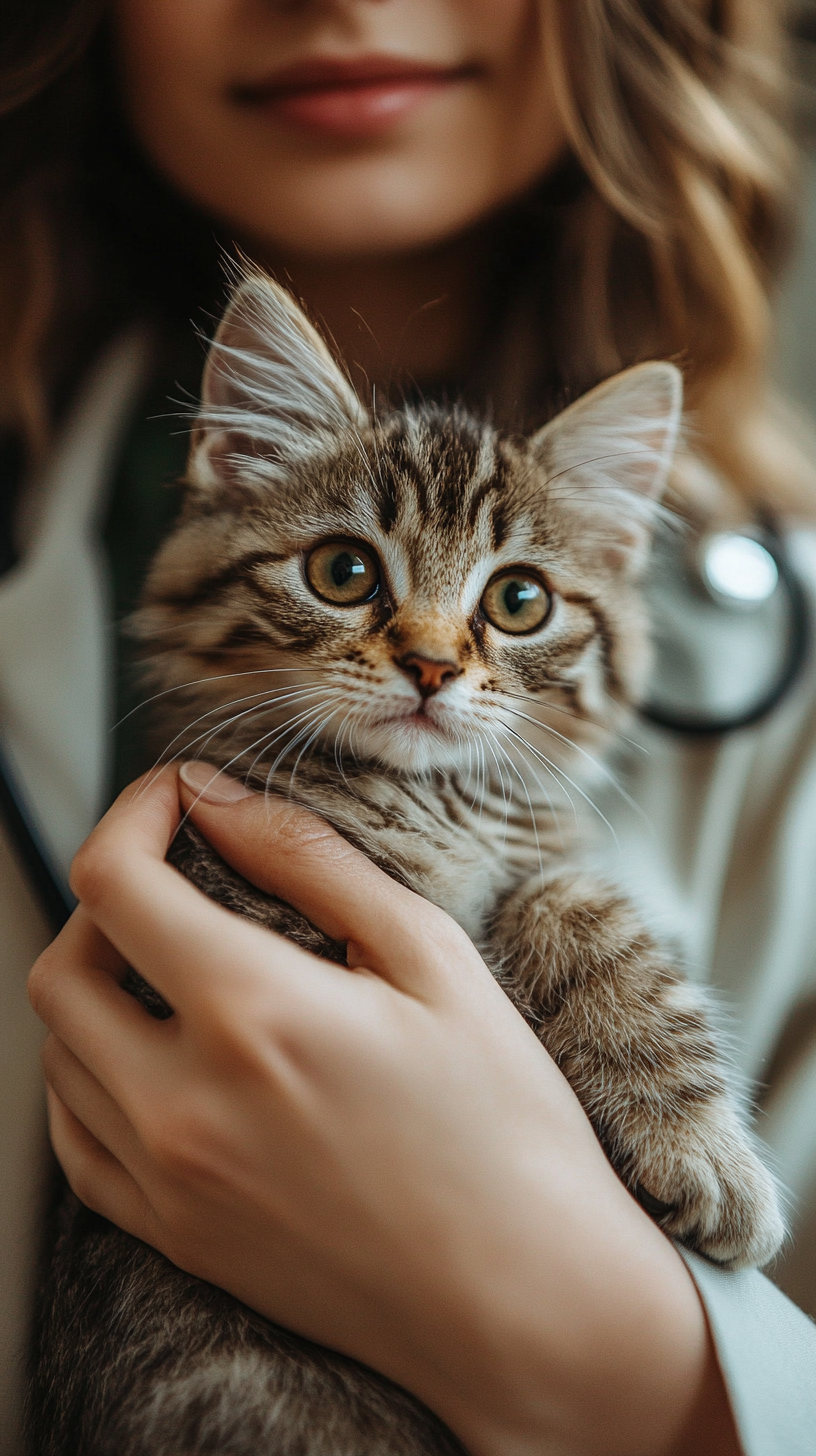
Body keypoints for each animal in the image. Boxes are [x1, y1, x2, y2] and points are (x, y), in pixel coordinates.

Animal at [30, 273, 786, 1456]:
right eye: (343, 572)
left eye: (519, 600)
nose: (431, 665)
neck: (440, 805)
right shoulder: (251, 901)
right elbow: (535, 935)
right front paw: (703, 1147)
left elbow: (574, 900)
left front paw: (700, 1144)